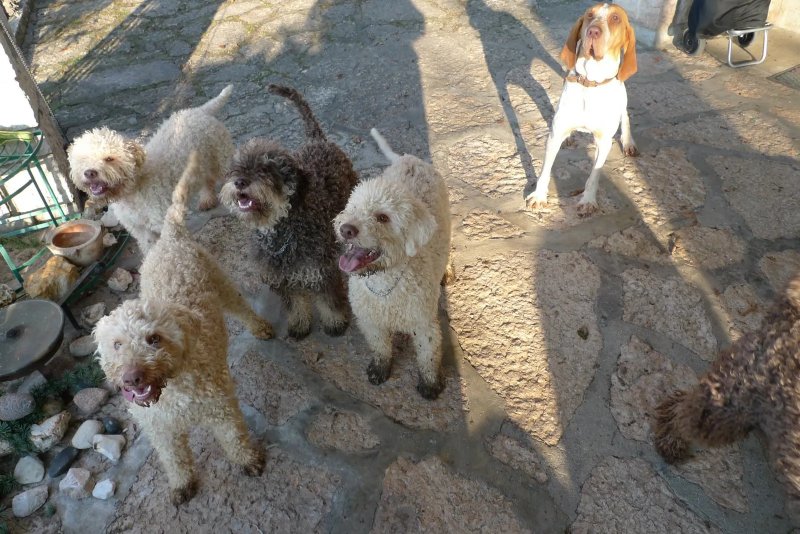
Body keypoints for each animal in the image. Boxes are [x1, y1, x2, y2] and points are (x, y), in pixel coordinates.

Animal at [68, 85, 234, 251]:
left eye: (109, 158)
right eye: (83, 158)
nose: (89, 173)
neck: (132, 191)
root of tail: (201, 110)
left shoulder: (165, 221)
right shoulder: (140, 229)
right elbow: (149, 248)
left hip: (222, 160)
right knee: (207, 180)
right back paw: (207, 200)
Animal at [94, 155, 272, 506]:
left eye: (154, 339)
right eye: (117, 345)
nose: (132, 378)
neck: (172, 393)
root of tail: (170, 236)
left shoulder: (221, 410)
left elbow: (234, 438)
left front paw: (248, 460)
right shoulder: (161, 432)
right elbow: (173, 459)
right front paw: (182, 484)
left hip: (222, 285)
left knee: (242, 308)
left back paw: (260, 327)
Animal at [219, 86, 356, 342]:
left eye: (267, 168)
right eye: (236, 168)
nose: (240, 182)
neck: (281, 233)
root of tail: (316, 139)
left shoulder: (321, 271)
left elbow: (329, 302)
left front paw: (335, 324)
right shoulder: (282, 281)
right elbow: (295, 305)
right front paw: (300, 326)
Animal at [334, 129, 454, 398]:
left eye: (382, 217)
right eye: (352, 207)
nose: (346, 229)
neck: (384, 286)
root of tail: (408, 158)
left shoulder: (424, 324)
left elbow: (428, 356)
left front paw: (431, 384)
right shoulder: (370, 322)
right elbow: (380, 348)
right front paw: (380, 369)